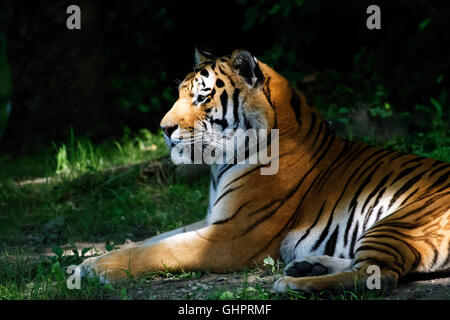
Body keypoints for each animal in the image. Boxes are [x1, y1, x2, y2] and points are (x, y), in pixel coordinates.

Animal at [81, 48, 450, 296]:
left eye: (201, 98)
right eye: (180, 95)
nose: (164, 128)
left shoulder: (230, 235)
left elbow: (158, 250)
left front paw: (95, 268)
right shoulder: (213, 218)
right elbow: (153, 239)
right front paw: (95, 258)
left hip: (400, 219)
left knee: (379, 275)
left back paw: (291, 283)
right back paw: (306, 266)